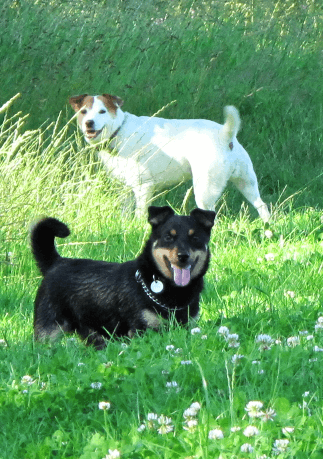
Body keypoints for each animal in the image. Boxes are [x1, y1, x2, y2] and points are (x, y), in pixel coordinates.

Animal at [31, 206, 216, 348]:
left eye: (195, 238)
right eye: (168, 237)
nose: (183, 256)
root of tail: (56, 262)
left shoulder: (188, 328)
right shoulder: (141, 331)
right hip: (48, 331)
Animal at [70, 93, 270, 223]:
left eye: (102, 111)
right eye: (83, 112)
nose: (89, 123)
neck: (119, 130)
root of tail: (224, 135)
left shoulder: (143, 187)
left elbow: (140, 213)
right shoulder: (124, 188)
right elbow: (125, 212)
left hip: (205, 190)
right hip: (246, 182)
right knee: (262, 205)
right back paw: (268, 228)